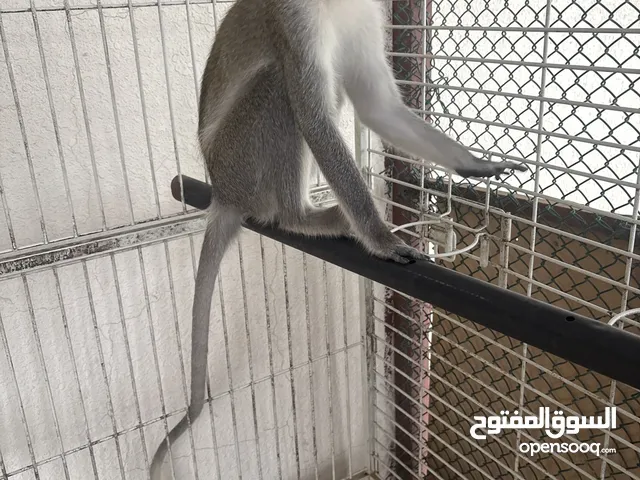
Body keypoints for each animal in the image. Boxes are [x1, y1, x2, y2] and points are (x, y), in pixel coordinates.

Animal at [149, 0, 525, 476]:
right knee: (280, 83)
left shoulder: (366, 14)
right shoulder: (293, 18)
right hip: (239, 158)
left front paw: (474, 163)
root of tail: (221, 193)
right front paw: (380, 238)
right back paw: (301, 216)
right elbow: (314, 120)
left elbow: (378, 107)